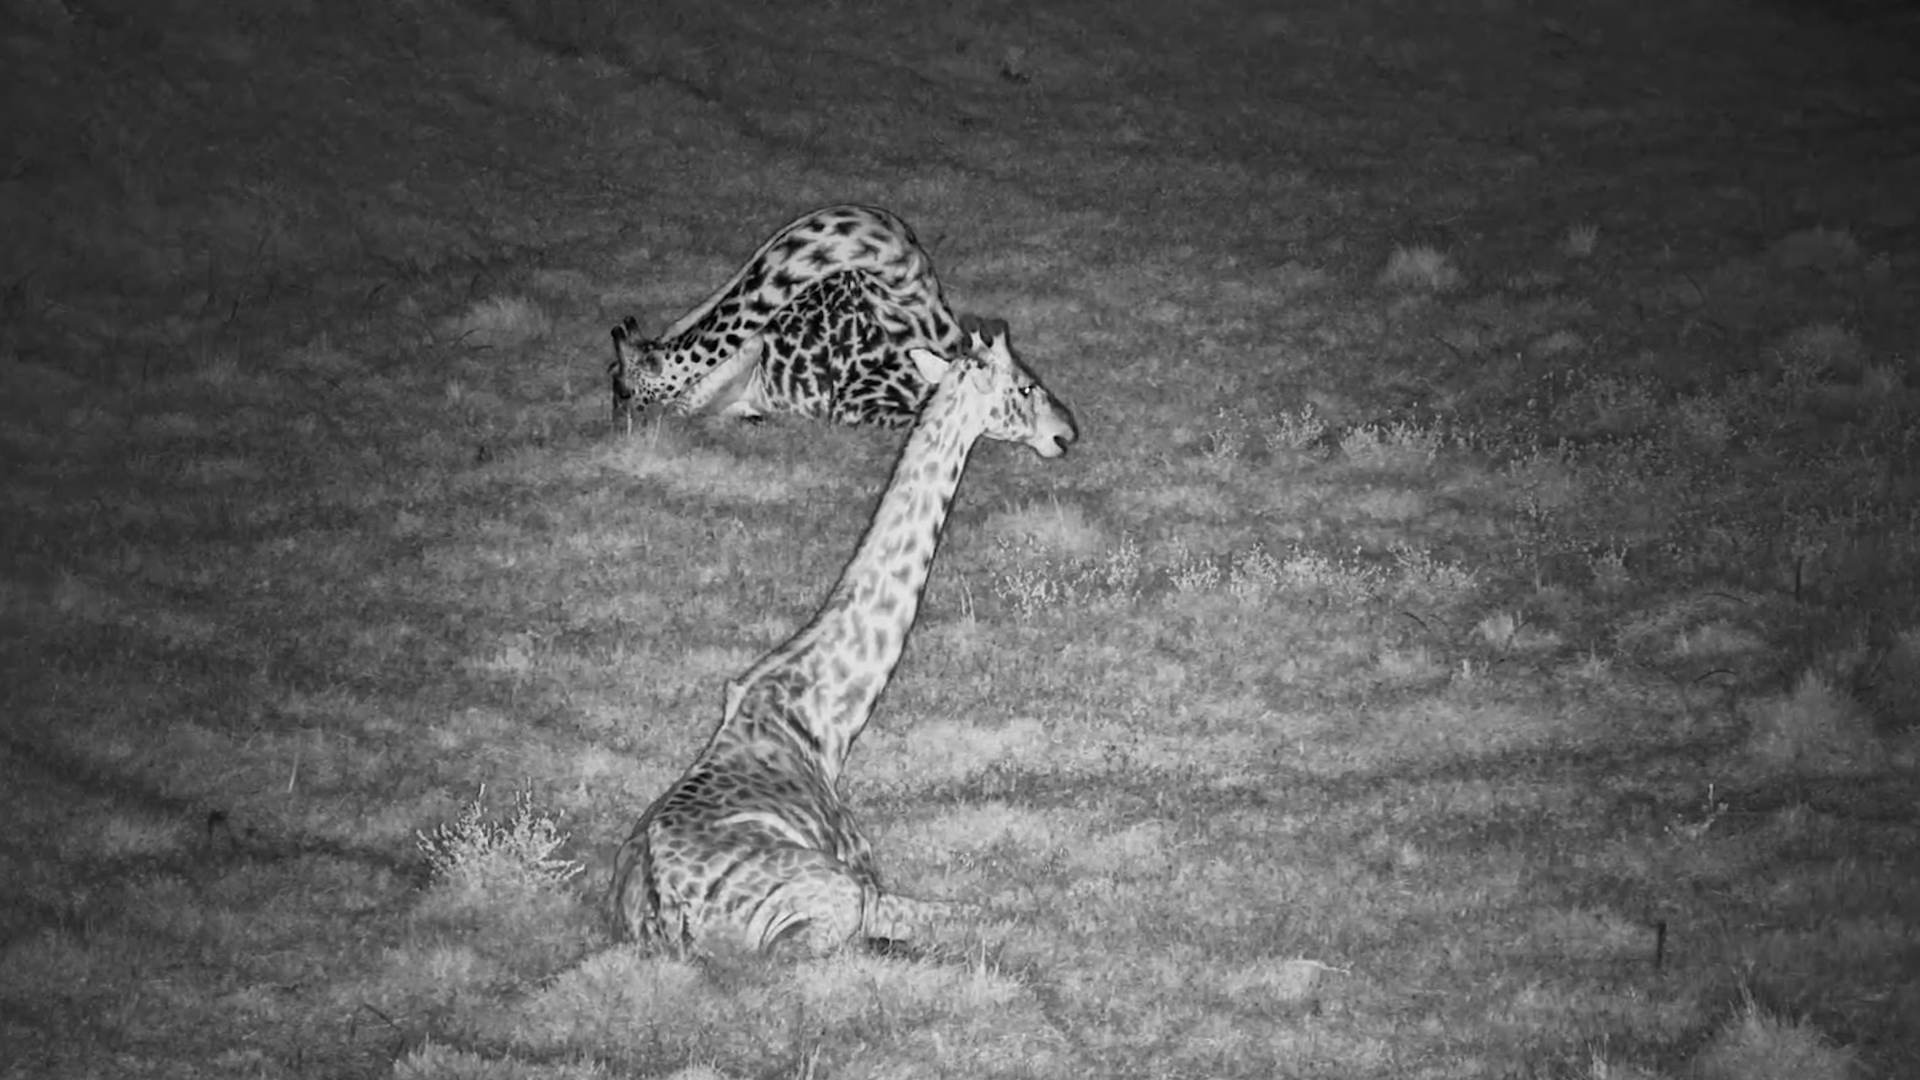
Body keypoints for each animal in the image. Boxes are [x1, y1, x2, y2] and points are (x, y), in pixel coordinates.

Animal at [609, 317, 1076, 957]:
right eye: (1026, 386)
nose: (1067, 432)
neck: (826, 720)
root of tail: (665, 920)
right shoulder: (864, 876)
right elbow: (985, 914)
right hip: (831, 903)